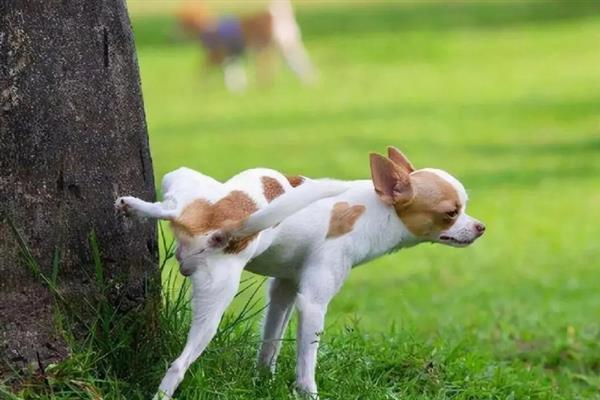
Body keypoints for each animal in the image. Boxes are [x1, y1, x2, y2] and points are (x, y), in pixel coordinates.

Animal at [115, 147, 486, 396]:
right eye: (451, 212)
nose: (481, 227)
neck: (375, 209)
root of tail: (224, 226)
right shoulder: (312, 303)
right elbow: (307, 363)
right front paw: (307, 393)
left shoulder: (284, 289)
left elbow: (270, 343)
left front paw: (263, 381)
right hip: (221, 288)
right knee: (178, 365)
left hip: (185, 184)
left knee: (171, 206)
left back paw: (135, 206)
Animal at [178, 0, 316, 91]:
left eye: (182, 22)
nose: (175, 32)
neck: (207, 27)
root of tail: (279, 16)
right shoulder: (231, 56)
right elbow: (233, 72)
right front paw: (237, 88)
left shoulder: (216, 56)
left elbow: (202, 71)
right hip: (286, 47)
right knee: (300, 62)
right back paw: (310, 81)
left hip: (265, 48)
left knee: (269, 68)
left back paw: (264, 86)